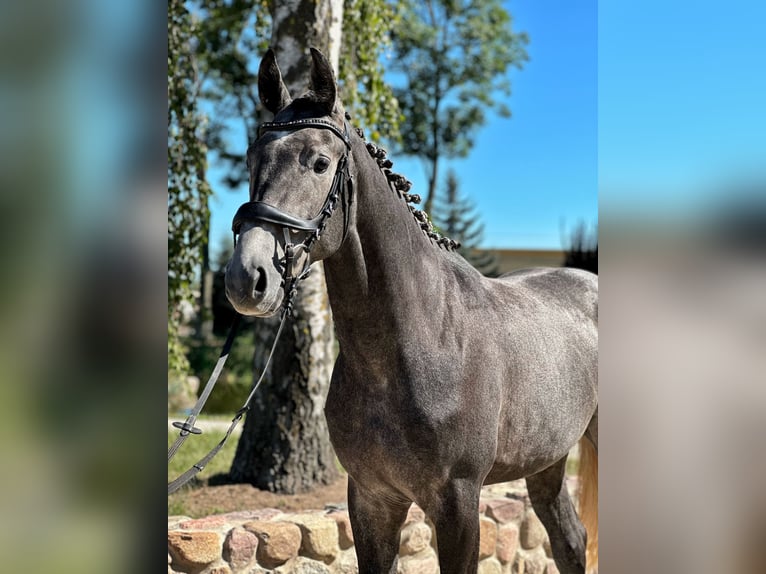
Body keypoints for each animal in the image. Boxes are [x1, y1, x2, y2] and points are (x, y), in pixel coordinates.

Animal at [225, 48, 596, 574]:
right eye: (253, 157)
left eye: (319, 162)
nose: (247, 277)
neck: (417, 344)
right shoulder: (371, 499)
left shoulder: (458, 503)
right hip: (548, 459)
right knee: (569, 540)